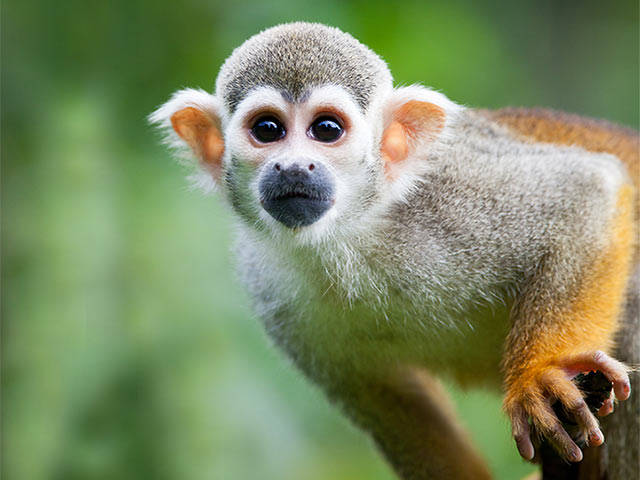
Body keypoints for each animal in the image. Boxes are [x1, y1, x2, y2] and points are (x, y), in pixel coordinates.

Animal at [150, 22, 638, 480]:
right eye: (267, 130)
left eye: (326, 129)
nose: (292, 167)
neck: (350, 233)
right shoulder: (269, 287)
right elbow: (393, 401)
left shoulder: (453, 193)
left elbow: (586, 191)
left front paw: (542, 374)